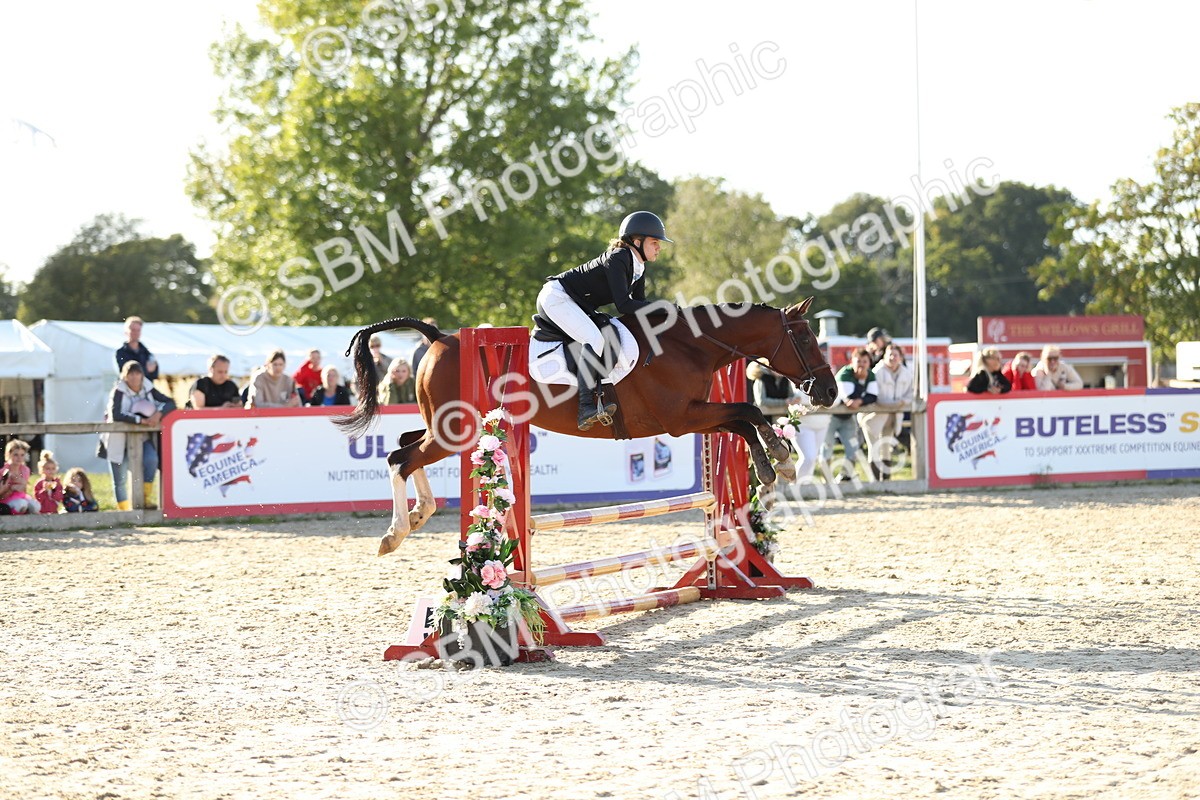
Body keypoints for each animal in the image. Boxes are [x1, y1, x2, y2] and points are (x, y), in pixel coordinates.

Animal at [337, 298, 839, 556]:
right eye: (806, 337)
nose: (830, 392)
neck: (689, 344)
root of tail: (439, 336)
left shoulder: (696, 411)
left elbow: (742, 419)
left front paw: (775, 464)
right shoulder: (681, 418)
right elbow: (747, 412)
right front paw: (779, 463)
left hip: (451, 427)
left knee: (406, 446)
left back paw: (419, 514)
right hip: (457, 429)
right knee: (400, 457)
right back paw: (394, 533)